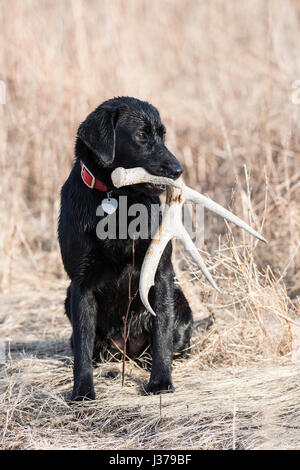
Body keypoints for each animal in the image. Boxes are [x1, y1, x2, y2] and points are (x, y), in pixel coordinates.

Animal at [58, 96, 193, 400]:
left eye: (162, 135)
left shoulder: (161, 272)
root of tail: (125, 350)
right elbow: (82, 347)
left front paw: (160, 382)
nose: (178, 170)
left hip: (181, 304)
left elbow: (161, 333)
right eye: (141, 136)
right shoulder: (80, 284)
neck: (118, 198)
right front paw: (82, 391)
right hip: (69, 299)